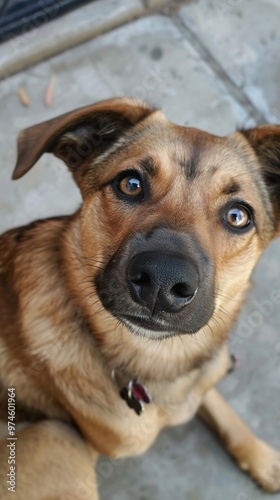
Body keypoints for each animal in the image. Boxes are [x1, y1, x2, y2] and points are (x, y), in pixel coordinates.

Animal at [0, 95, 280, 498]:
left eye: (238, 216)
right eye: (130, 184)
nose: (162, 281)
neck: (155, 359)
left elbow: (214, 397)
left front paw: (263, 457)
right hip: (59, 437)